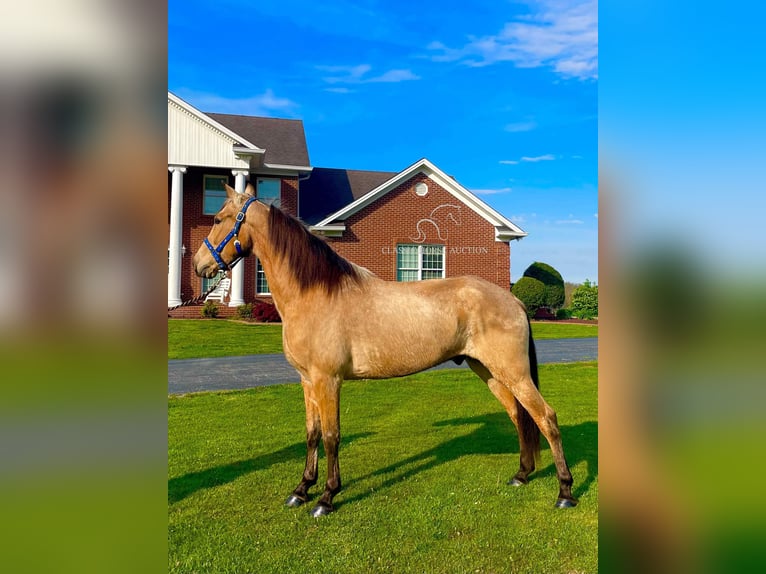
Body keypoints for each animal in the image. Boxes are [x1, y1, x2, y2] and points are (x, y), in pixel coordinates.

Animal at [195, 183, 580, 516]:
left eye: (217, 220)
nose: (200, 265)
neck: (316, 294)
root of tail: (513, 299)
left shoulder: (327, 381)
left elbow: (332, 436)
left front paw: (327, 497)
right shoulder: (307, 381)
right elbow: (312, 434)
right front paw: (301, 490)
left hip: (513, 373)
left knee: (546, 418)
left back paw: (564, 492)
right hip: (490, 372)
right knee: (519, 416)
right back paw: (521, 475)